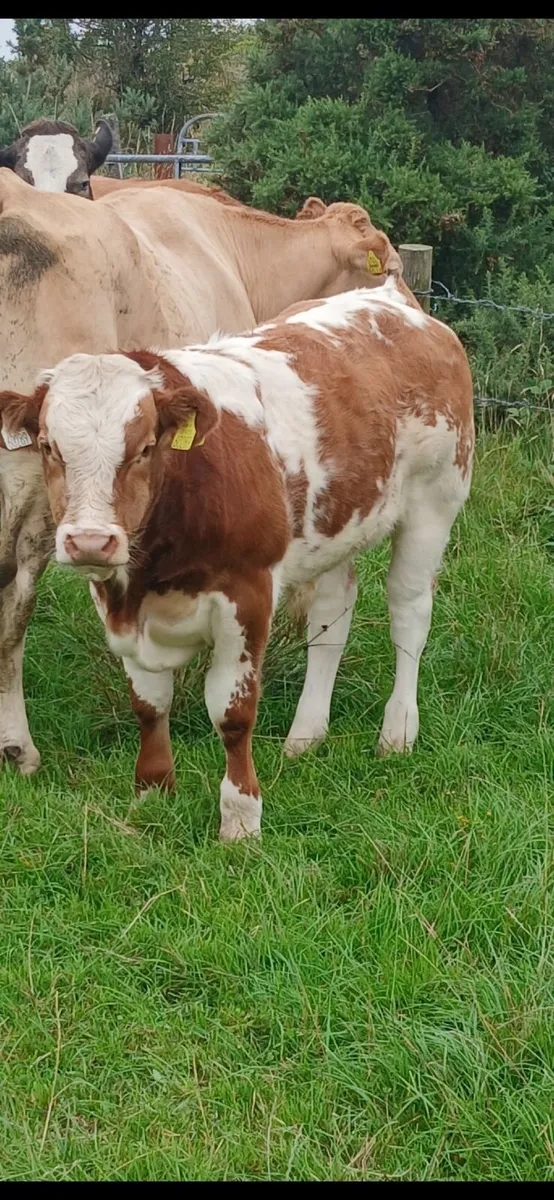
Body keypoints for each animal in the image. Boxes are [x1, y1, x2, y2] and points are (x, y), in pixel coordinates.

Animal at [0, 280, 474, 839]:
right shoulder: (118, 604)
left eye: (145, 448)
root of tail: (392, 296)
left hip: (434, 503)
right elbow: (148, 703)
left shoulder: (248, 593)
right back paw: (305, 735)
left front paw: (242, 821)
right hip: (339, 522)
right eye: (48, 447)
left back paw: (398, 731)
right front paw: (152, 794)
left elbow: (232, 712)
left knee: (409, 615)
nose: (91, 541)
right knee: (331, 618)